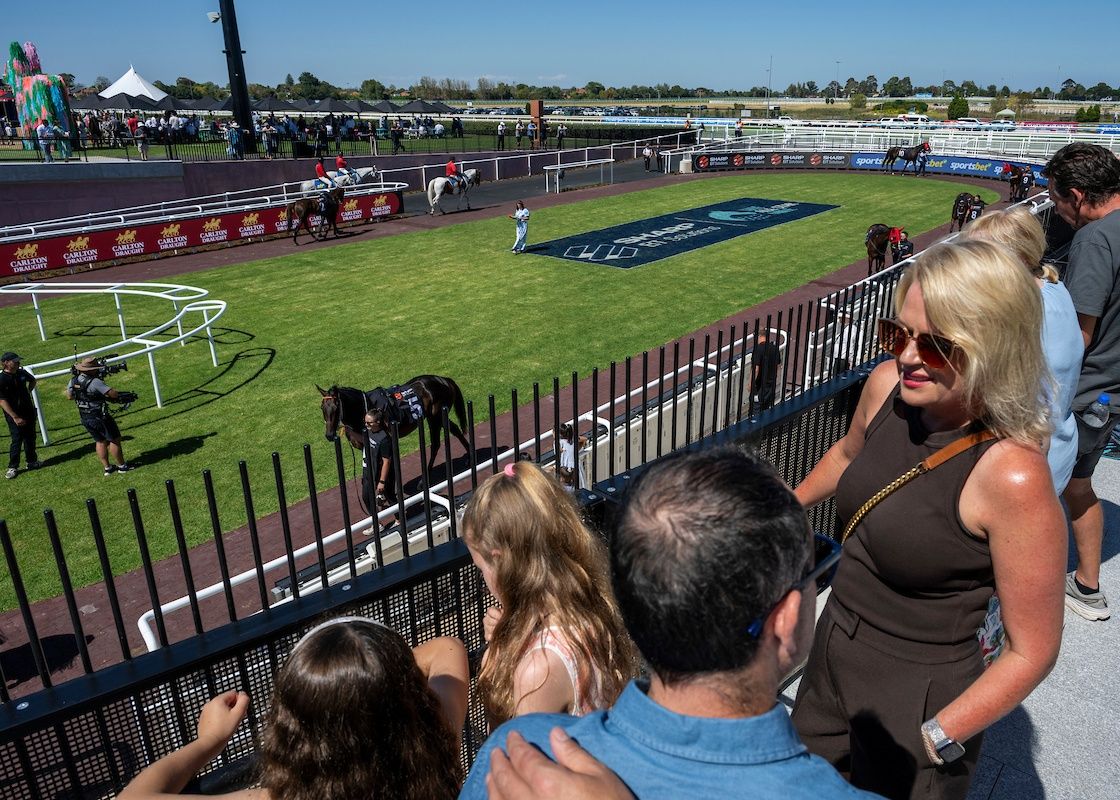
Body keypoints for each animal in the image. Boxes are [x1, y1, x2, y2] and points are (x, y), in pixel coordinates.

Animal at [318, 376, 472, 478]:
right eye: (322, 408)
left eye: (336, 407)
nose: (329, 435)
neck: (364, 410)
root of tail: (444, 380)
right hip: (439, 416)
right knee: (455, 429)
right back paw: (469, 457)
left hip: (435, 417)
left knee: (435, 444)